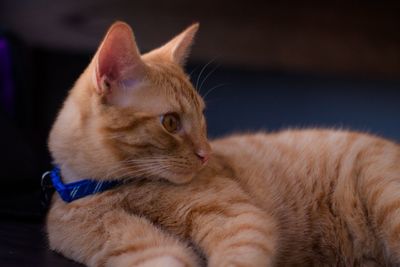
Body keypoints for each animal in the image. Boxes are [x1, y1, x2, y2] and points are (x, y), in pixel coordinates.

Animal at [48, 21, 400, 267]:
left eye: (202, 115)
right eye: (171, 123)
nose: (207, 154)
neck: (110, 189)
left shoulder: (238, 220)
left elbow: (236, 258)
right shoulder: (138, 248)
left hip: (385, 197)